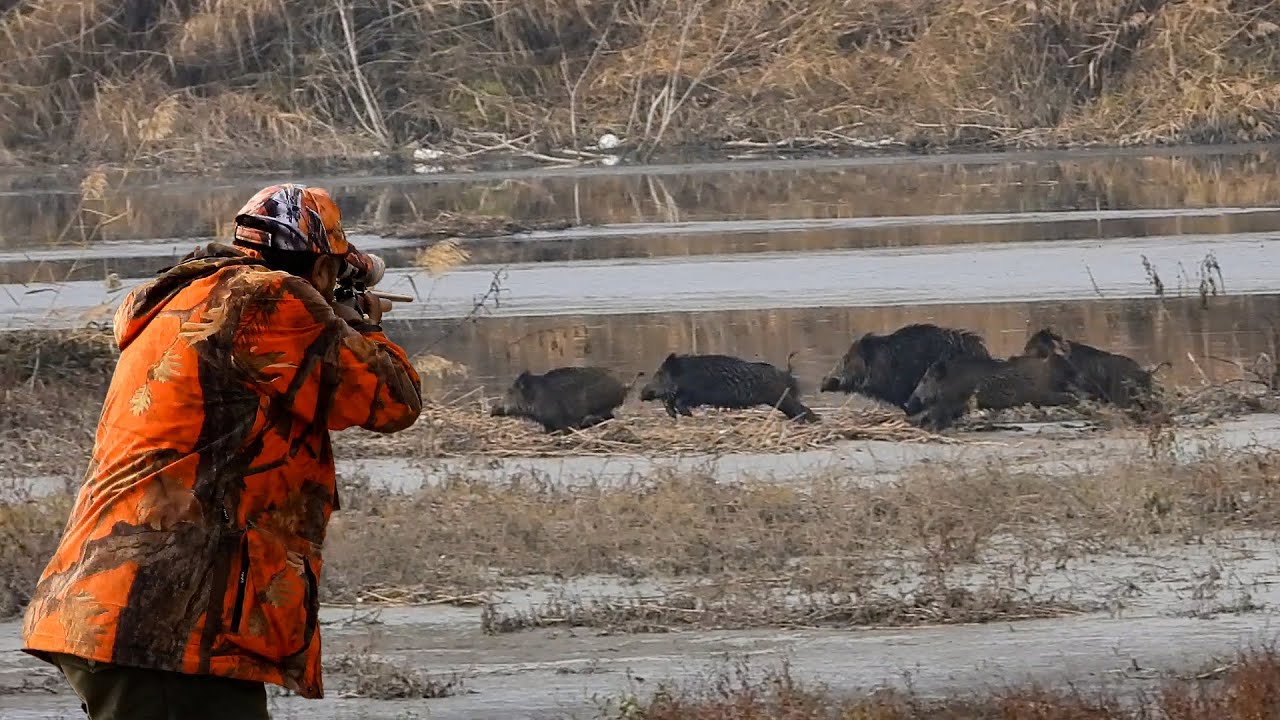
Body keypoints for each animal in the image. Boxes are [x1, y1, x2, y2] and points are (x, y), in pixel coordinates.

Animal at [490, 366, 630, 433]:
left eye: (510, 391)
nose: (493, 409)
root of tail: (623, 386)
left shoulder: (558, 420)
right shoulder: (547, 424)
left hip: (602, 406)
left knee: (607, 416)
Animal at [638, 352, 819, 422]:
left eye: (659, 375)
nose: (642, 394)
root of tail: (786, 373)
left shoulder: (694, 394)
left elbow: (679, 403)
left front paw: (686, 415)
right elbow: (670, 403)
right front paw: (675, 416)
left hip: (779, 397)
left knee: (800, 409)